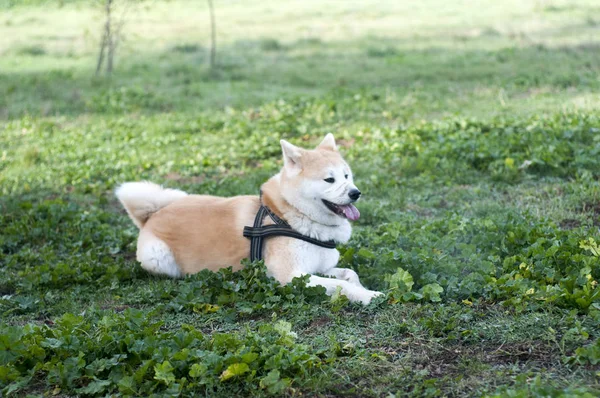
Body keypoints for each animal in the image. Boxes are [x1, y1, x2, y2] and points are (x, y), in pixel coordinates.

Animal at [115, 135, 382, 304]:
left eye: (347, 176)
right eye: (329, 179)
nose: (355, 193)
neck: (289, 216)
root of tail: (151, 216)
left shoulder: (319, 269)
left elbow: (350, 275)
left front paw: (363, 288)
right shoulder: (291, 276)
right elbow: (342, 286)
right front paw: (368, 296)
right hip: (158, 258)